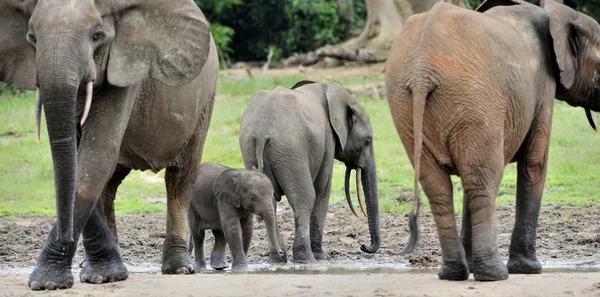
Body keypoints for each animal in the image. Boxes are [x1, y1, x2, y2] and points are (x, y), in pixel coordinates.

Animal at [0, 0, 218, 290]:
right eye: (32, 38)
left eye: (97, 36)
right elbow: (80, 161)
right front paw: (102, 274)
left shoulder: (127, 65)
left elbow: (97, 152)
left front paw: (47, 282)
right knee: (109, 186)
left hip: (204, 102)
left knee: (180, 179)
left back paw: (180, 268)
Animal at [238, 80, 380, 262]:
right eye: (368, 141)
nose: (363, 246)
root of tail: (262, 132)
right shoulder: (328, 141)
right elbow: (323, 189)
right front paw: (320, 256)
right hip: (291, 151)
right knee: (304, 198)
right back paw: (306, 259)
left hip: (251, 147)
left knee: (268, 201)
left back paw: (278, 258)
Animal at [384, 0, 600, 280]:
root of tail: (422, 70)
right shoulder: (544, 85)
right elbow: (534, 162)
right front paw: (529, 270)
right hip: (475, 101)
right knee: (483, 179)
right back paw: (494, 274)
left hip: (405, 103)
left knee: (443, 186)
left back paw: (454, 273)